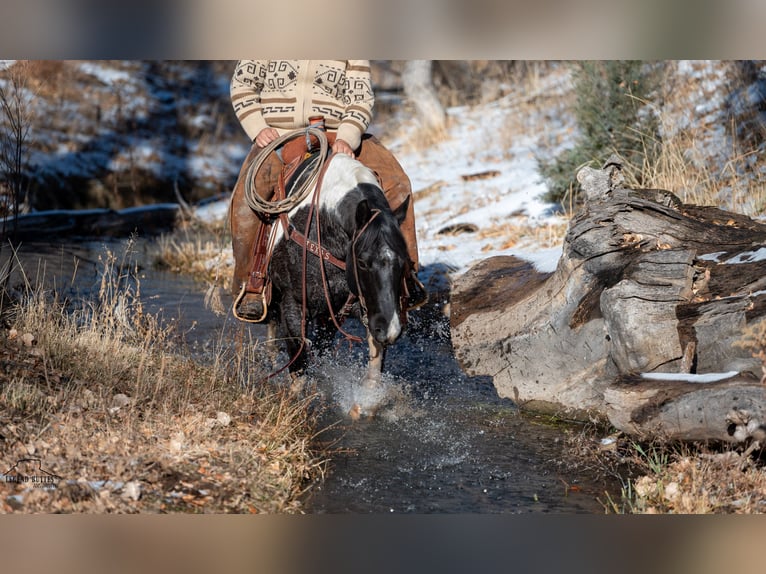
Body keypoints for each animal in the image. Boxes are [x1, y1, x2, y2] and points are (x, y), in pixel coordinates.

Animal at [268, 151, 412, 416]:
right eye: (363, 262)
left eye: (404, 261)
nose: (391, 331)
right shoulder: (292, 302)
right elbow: (298, 359)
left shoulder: (363, 308)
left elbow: (375, 366)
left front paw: (363, 404)